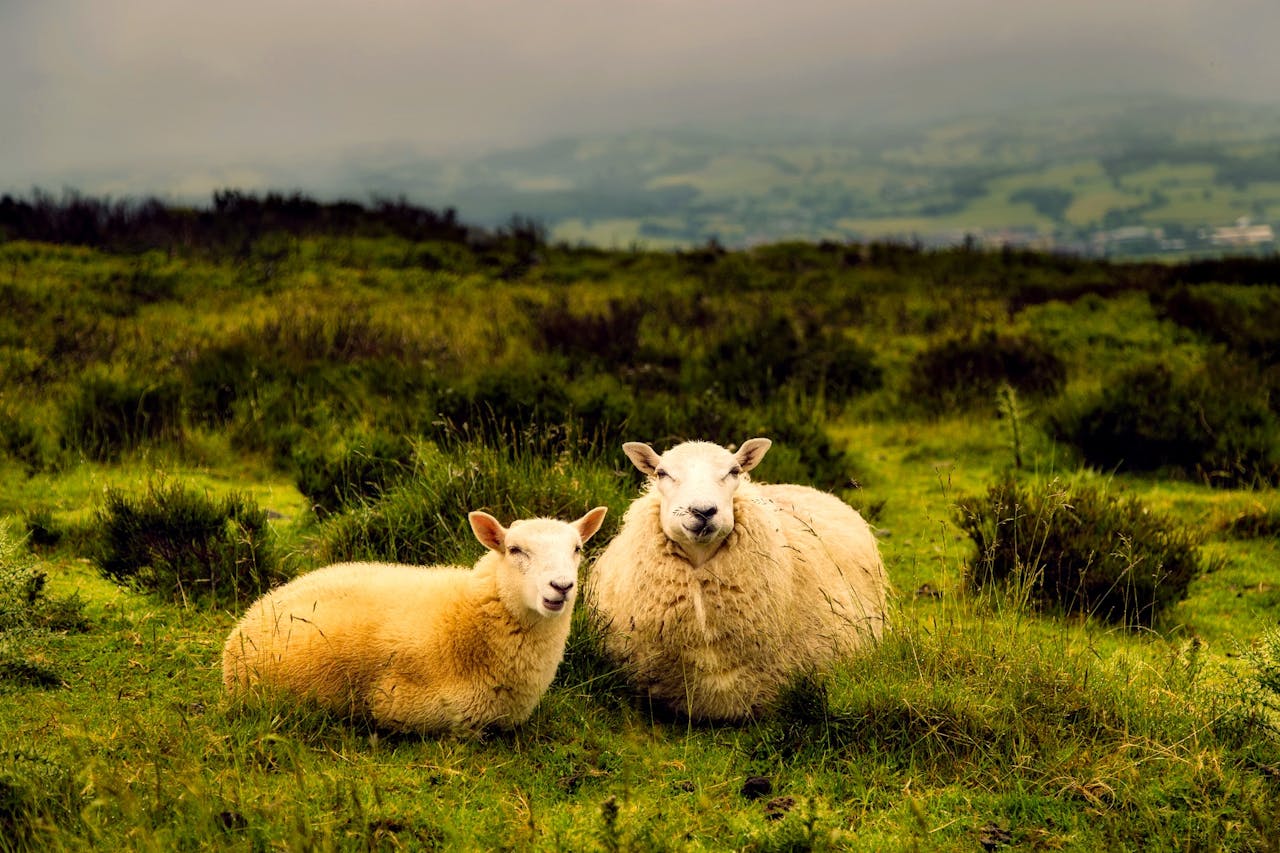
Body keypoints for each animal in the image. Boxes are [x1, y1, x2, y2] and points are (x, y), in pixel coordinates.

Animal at [222, 506, 608, 734]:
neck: (469, 618)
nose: (561, 586)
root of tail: (255, 609)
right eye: (514, 550)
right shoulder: (409, 709)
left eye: (577, 549)